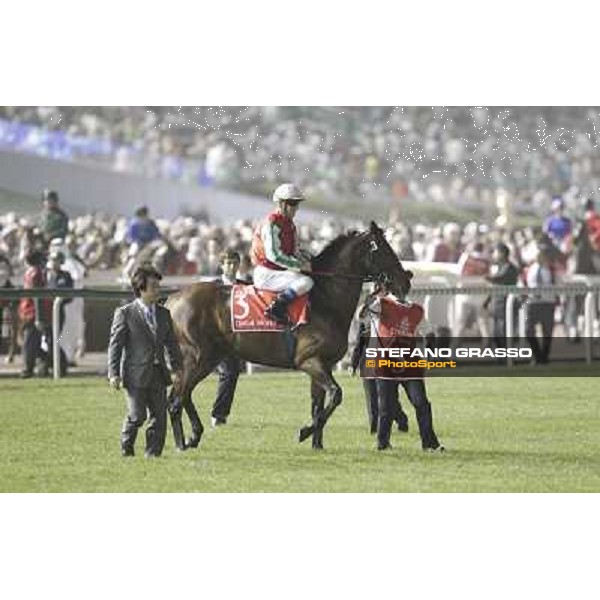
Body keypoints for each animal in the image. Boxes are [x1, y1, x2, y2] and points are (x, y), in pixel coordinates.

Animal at [166, 223, 414, 448]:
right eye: (382, 249)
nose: (406, 278)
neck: (324, 300)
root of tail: (173, 299)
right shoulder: (309, 361)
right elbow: (336, 394)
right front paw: (305, 432)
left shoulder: (323, 364)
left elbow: (318, 405)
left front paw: (317, 444)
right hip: (198, 357)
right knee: (177, 398)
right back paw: (181, 443)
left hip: (208, 358)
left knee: (181, 394)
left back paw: (191, 436)